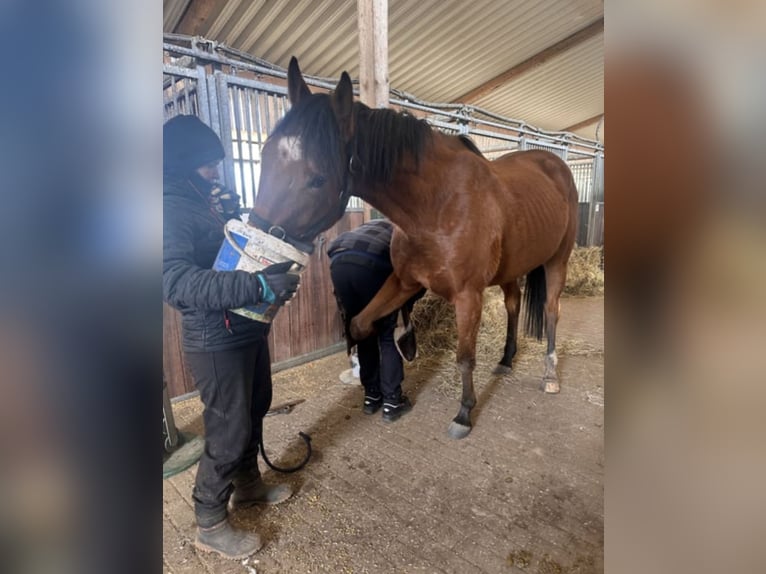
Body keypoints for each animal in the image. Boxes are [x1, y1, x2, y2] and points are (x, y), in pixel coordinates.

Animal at [252, 58, 584, 440]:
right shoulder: (404, 283)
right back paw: (505, 360)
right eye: (264, 156)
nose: (259, 251)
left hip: (558, 260)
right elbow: (361, 325)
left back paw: (549, 375)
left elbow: (464, 357)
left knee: (551, 311)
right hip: (511, 268)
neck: (436, 206)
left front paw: (463, 414)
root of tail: (555, 165)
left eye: (317, 178)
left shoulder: (468, 296)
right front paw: (378, 381)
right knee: (514, 304)